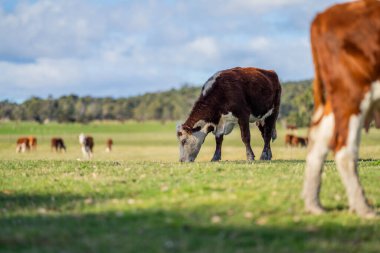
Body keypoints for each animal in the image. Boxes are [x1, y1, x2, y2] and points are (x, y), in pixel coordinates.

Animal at [302, 0, 380, 217]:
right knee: (344, 149)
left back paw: (314, 204)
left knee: (319, 140)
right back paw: (363, 208)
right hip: (352, 92)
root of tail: (322, 16)